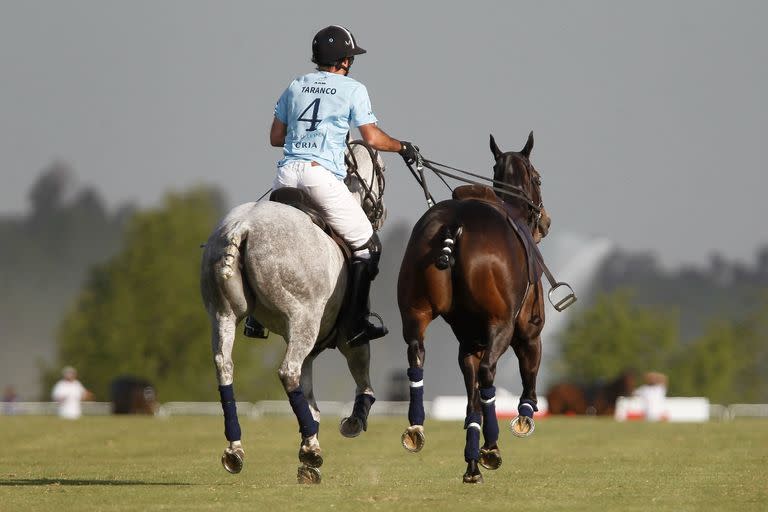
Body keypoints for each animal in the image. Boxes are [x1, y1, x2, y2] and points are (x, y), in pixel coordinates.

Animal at [201, 143, 388, 484]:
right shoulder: (347, 335)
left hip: (222, 313)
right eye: (383, 170)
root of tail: (242, 228)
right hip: (304, 319)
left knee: (224, 365)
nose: (380, 214)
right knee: (288, 371)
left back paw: (236, 449)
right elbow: (362, 376)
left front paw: (308, 447)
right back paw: (311, 451)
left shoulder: (310, 349)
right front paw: (353, 421)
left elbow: (310, 399)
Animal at [400, 133, 548, 484]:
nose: (546, 222)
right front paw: (524, 416)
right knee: (489, 373)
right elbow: (527, 374)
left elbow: (472, 403)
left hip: (415, 310)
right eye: (538, 179)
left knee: (417, 353)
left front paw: (471, 463)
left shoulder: (469, 342)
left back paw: (417, 428)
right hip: (501, 325)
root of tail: (455, 224)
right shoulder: (528, 331)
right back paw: (491, 447)